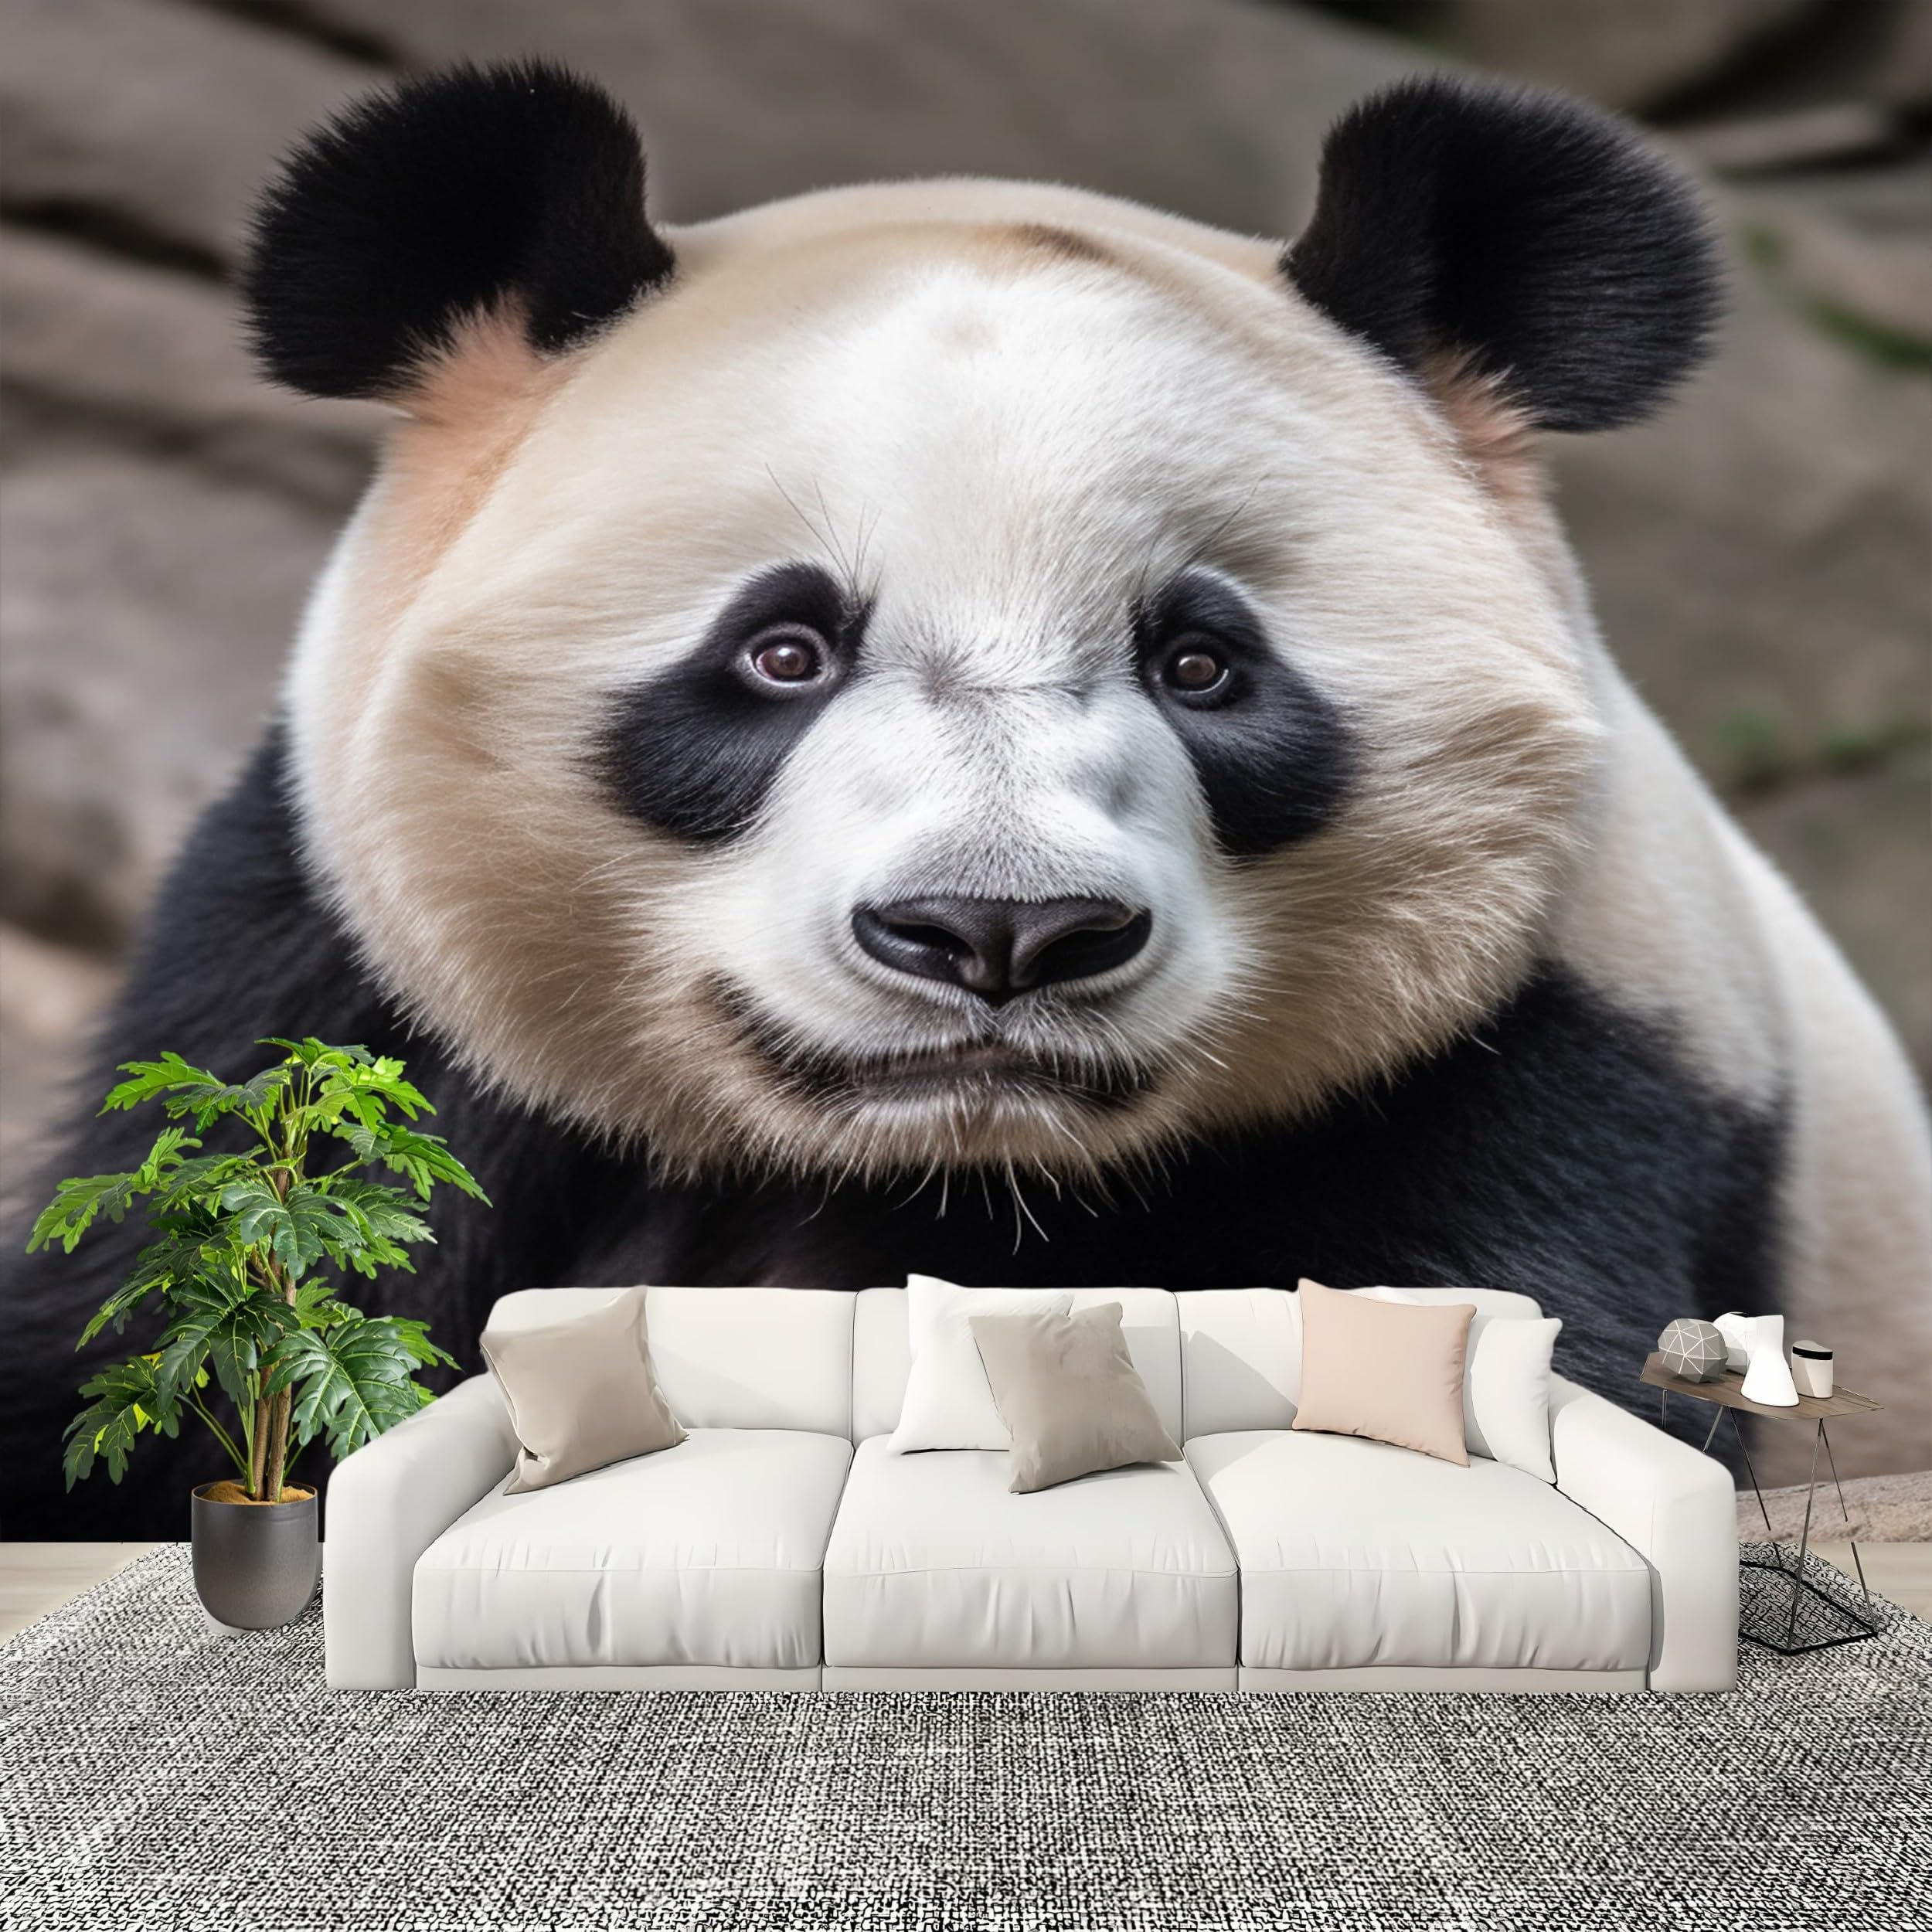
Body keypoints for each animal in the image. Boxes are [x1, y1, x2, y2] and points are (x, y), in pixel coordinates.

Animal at [5, 61, 1928, 1536]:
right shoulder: (339, 1006)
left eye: (1200, 662)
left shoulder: (1556, 1051)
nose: (1000, 931)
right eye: (781, 650)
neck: (965, 1177)